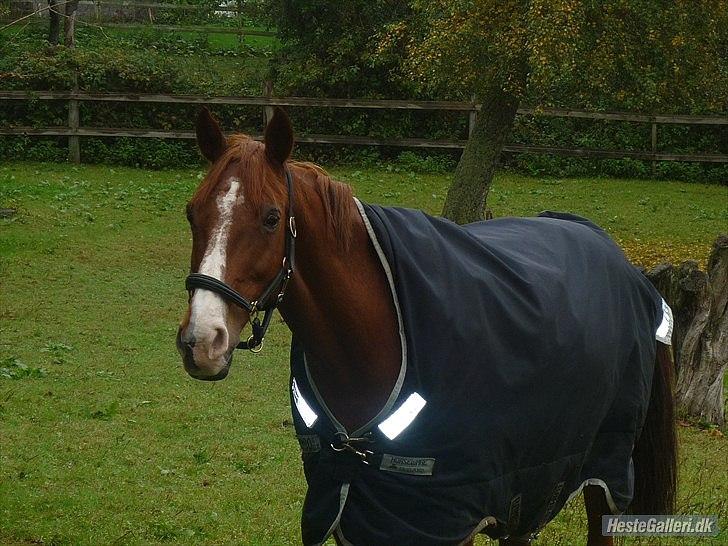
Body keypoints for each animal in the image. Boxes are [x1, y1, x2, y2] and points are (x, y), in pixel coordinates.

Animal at [177, 107, 677, 546]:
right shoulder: (350, 507)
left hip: (602, 473)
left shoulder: (447, 516)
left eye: (271, 218)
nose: (202, 341)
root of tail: (622, 260)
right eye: (192, 212)